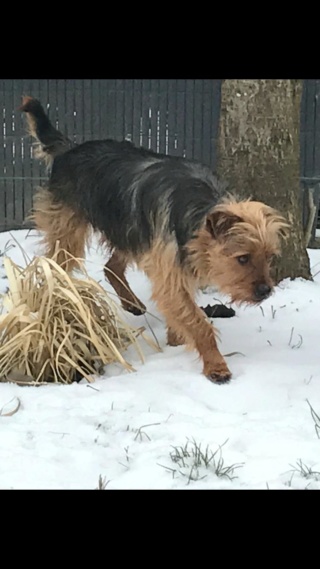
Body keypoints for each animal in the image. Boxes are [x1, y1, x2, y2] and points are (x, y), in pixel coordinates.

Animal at [20, 95, 290, 384]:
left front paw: (176, 342)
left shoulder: (175, 269)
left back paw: (131, 303)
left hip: (132, 231)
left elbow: (181, 314)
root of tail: (69, 149)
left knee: (111, 267)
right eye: (243, 259)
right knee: (54, 264)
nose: (265, 291)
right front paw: (216, 366)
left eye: (270, 258)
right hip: (69, 236)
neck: (198, 213)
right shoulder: (170, 274)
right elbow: (198, 323)